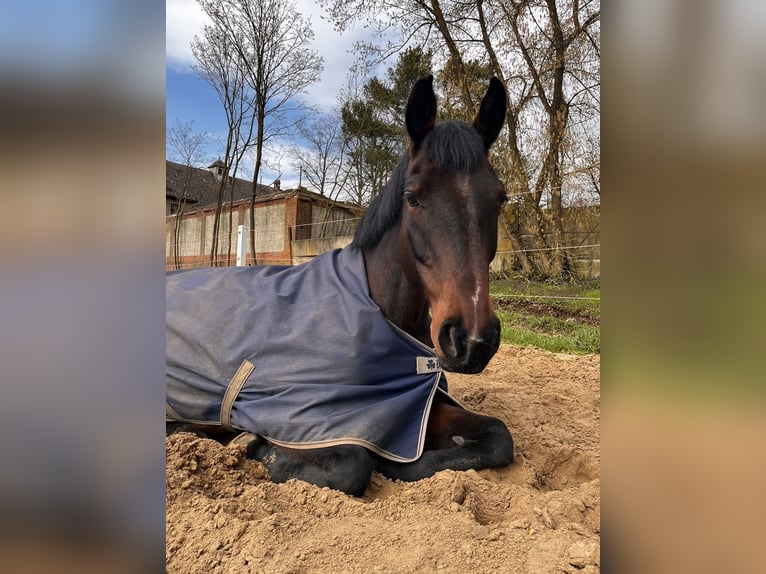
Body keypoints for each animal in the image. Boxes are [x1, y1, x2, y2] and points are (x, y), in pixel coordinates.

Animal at [166, 75, 514, 496]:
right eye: (411, 198)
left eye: (500, 198)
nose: (471, 339)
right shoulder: (302, 419)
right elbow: (353, 466)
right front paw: (253, 442)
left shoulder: (415, 407)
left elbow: (498, 436)